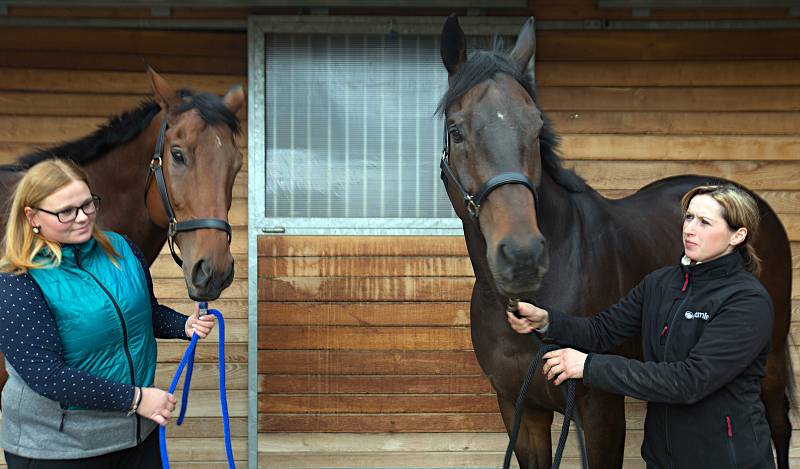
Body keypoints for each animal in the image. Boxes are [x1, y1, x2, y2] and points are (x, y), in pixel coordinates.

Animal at [438, 14, 792, 468]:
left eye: (536, 128)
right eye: (456, 131)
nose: (522, 256)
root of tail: (751, 200)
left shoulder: (599, 409)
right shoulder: (521, 410)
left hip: (770, 357)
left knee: (778, 426)